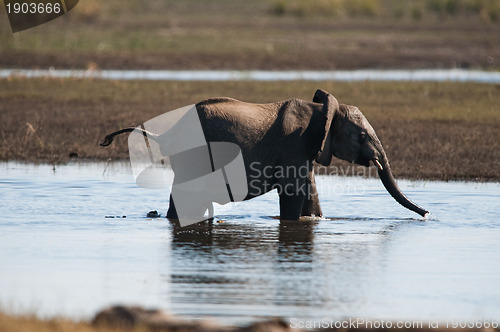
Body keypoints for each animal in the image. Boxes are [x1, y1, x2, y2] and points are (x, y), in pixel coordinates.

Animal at [100, 89, 426, 222]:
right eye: (361, 136)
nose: (427, 214)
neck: (322, 110)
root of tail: (168, 133)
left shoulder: (304, 151)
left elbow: (309, 192)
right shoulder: (294, 145)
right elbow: (294, 193)